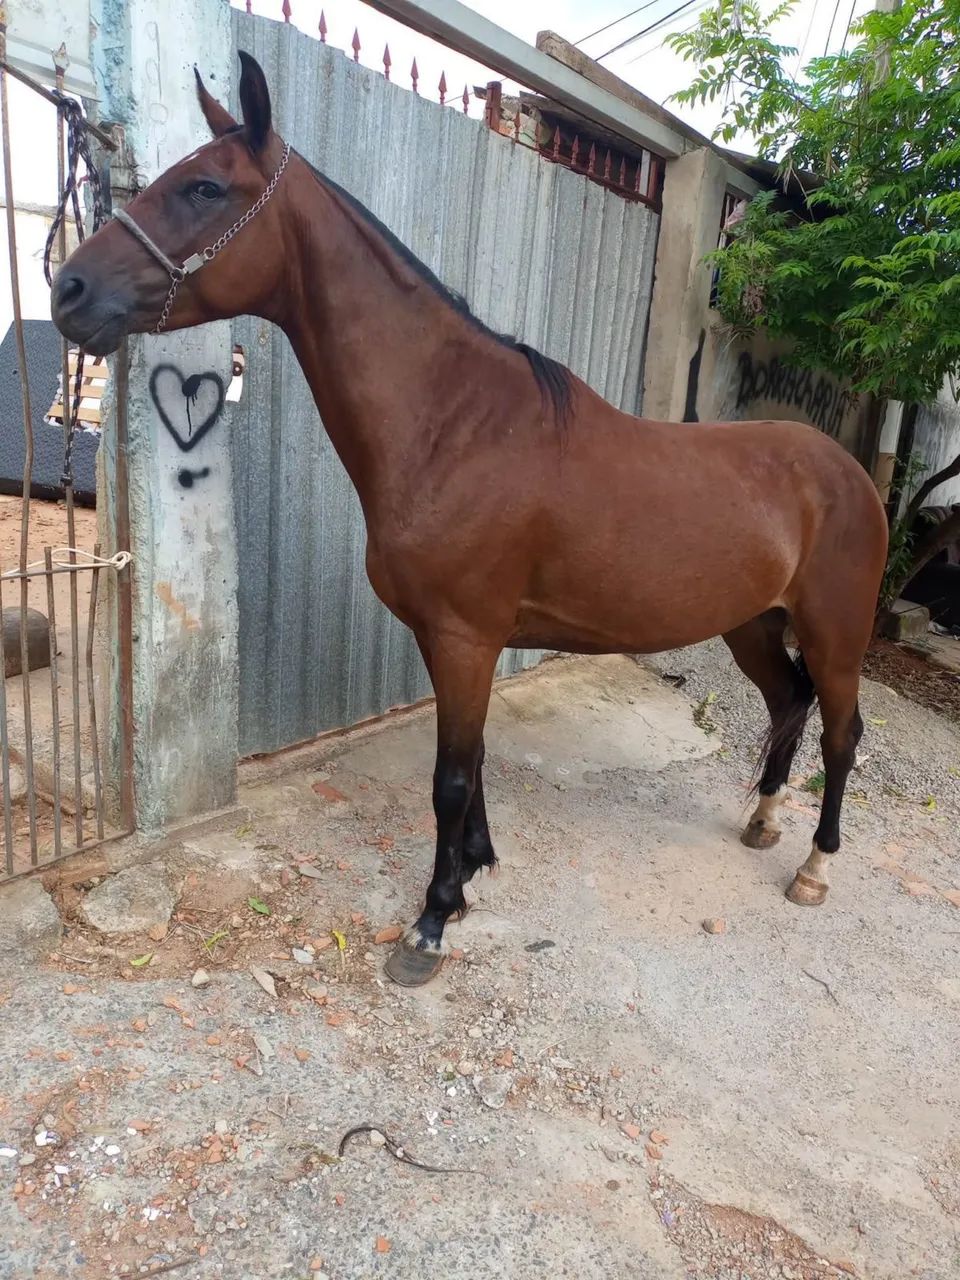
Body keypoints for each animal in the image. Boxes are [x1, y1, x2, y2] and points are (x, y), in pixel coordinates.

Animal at [51, 53, 889, 986]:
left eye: (203, 187)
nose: (69, 288)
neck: (454, 426)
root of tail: (848, 473)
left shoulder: (464, 636)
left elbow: (449, 778)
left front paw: (431, 920)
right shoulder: (448, 637)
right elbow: (475, 759)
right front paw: (475, 870)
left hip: (837, 632)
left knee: (843, 732)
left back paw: (815, 866)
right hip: (751, 624)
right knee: (789, 703)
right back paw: (764, 821)